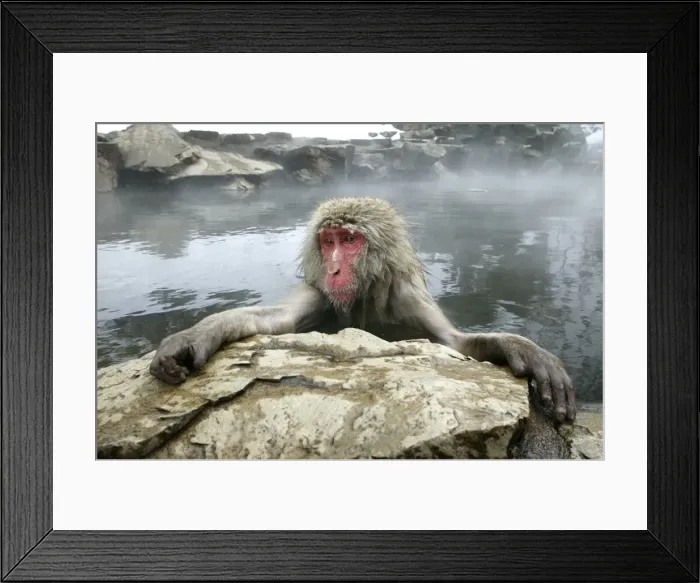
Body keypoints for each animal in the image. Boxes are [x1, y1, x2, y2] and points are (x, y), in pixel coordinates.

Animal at [149, 197, 576, 423]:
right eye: (328, 241)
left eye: (350, 240)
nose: (335, 268)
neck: (364, 294)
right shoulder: (318, 291)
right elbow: (274, 320)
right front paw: (194, 337)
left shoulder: (408, 299)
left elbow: (452, 342)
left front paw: (524, 350)